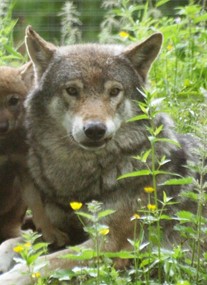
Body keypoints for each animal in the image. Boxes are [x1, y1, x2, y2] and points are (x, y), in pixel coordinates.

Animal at [0, 26, 201, 284]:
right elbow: (11, 242)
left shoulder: (108, 242)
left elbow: (40, 264)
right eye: (72, 90)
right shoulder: (53, 227)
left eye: (114, 91)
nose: (95, 129)